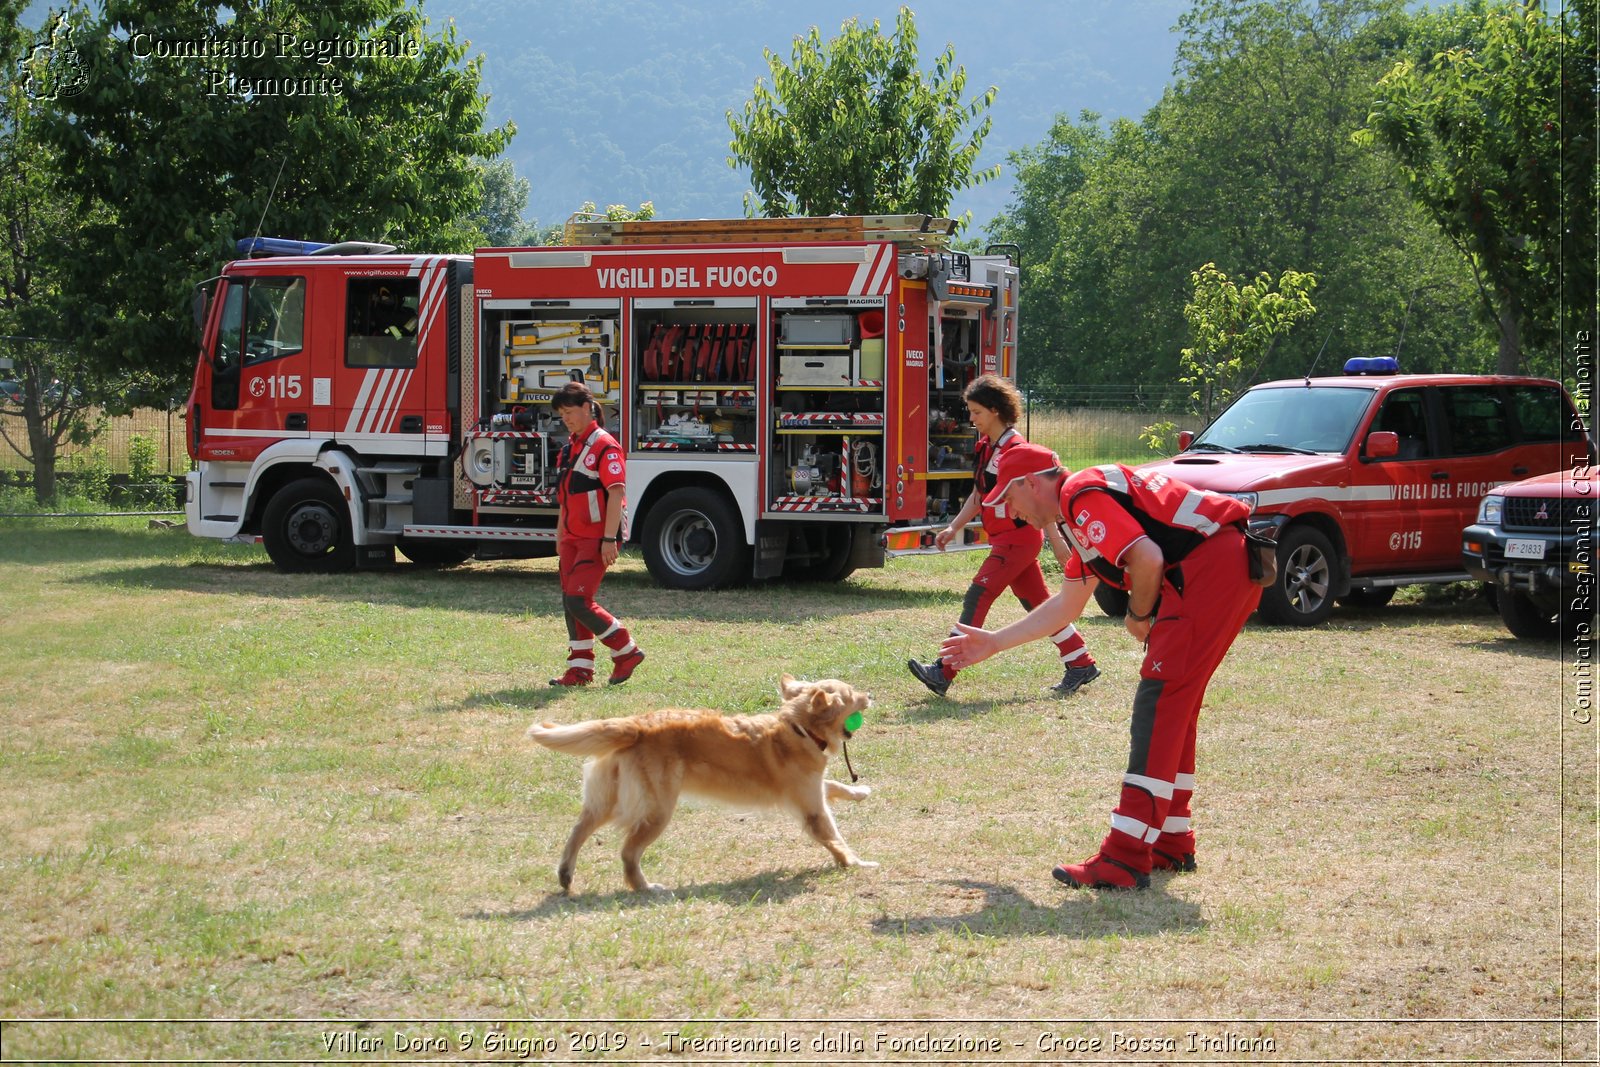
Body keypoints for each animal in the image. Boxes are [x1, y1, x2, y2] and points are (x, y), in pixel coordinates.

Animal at [524, 675, 876, 895]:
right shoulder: (811, 806)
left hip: (610, 799)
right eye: (851, 693)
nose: (870, 695)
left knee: (579, 829)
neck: (798, 727)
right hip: (657, 810)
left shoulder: (810, 789)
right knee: (628, 851)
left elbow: (834, 785)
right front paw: (857, 862)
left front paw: (860, 792)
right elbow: (834, 837)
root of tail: (636, 724)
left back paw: (566, 874)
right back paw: (645, 887)